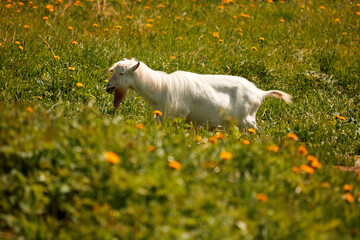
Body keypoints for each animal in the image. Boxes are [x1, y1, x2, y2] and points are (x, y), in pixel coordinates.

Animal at [105, 58, 292, 128]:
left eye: (121, 73)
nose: (108, 87)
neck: (159, 88)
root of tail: (260, 93)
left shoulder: (178, 115)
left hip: (247, 120)